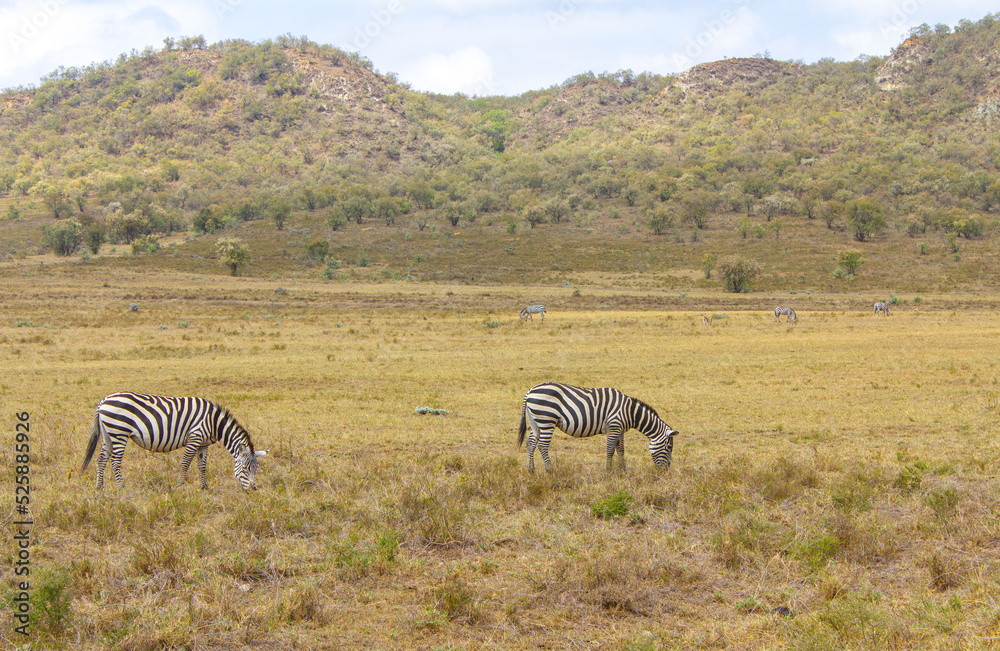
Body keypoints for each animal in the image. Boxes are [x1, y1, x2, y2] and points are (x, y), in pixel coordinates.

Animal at [81, 392, 268, 491]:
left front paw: (204, 487)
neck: (214, 423)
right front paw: (180, 485)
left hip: (108, 434)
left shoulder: (204, 444)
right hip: (119, 432)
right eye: (245, 468)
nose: (253, 489)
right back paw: (121, 487)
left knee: (101, 459)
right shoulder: (194, 437)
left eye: (256, 469)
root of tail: (103, 401)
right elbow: (185, 463)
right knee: (115, 461)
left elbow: (202, 466)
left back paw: (99, 486)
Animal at [517, 382, 678, 473]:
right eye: (669, 448)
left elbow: (621, 450)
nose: (666, 471)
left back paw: (531, 470)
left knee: (530, 443)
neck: (629, 412)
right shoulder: (614, 426)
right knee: (543, 446)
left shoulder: (620, 430)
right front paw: (608, 471)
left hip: (536, 422)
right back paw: (550, 471)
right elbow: (610, 450)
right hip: (547, 420)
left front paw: (623, 470)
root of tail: (530, 391)